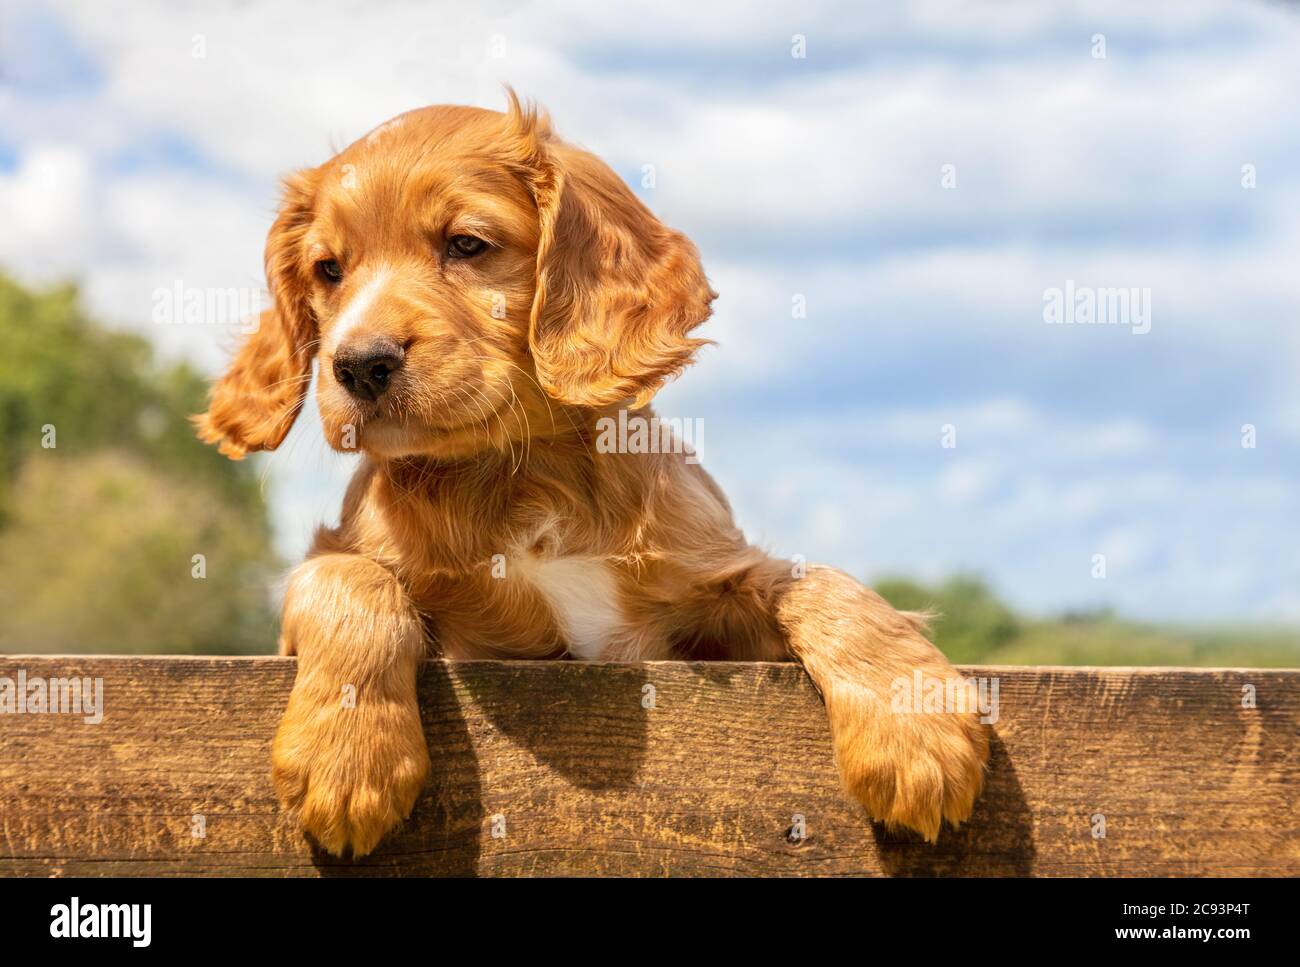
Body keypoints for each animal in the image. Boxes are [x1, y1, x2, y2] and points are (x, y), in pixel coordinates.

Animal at [197, 94, 982, 857]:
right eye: (329, 270)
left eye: (467, 244)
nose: (360, 364)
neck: (529, 477)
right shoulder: (366, 585)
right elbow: (348, 577)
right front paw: (348, 756)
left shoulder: (708, 592)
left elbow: (819, 581)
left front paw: (917, 731)